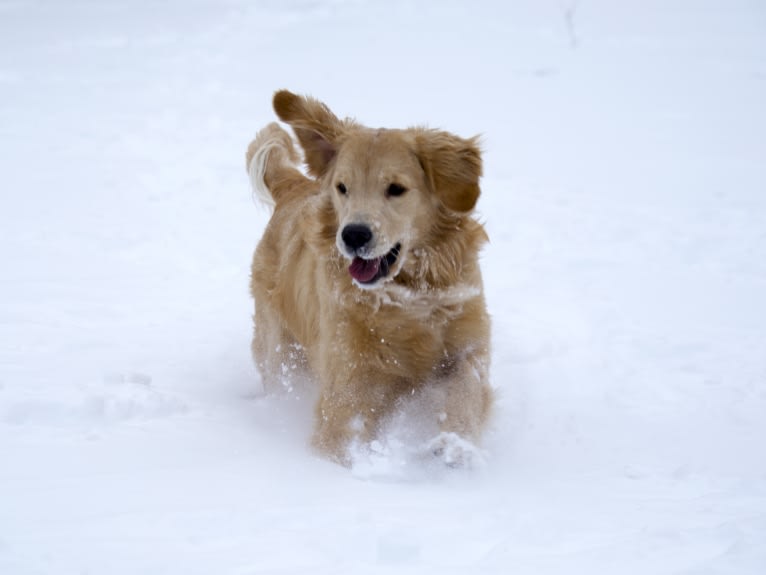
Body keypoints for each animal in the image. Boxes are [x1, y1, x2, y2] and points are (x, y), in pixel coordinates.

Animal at [249, 91, 496, 468]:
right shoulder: (348, 380)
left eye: (396, 188)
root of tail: (295, 186)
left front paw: (455, 447)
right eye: (342, 188)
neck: (407, 294)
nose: (353, 235)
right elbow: (340, 433)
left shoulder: (467, 347)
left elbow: (467, 389)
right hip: (278, 350)